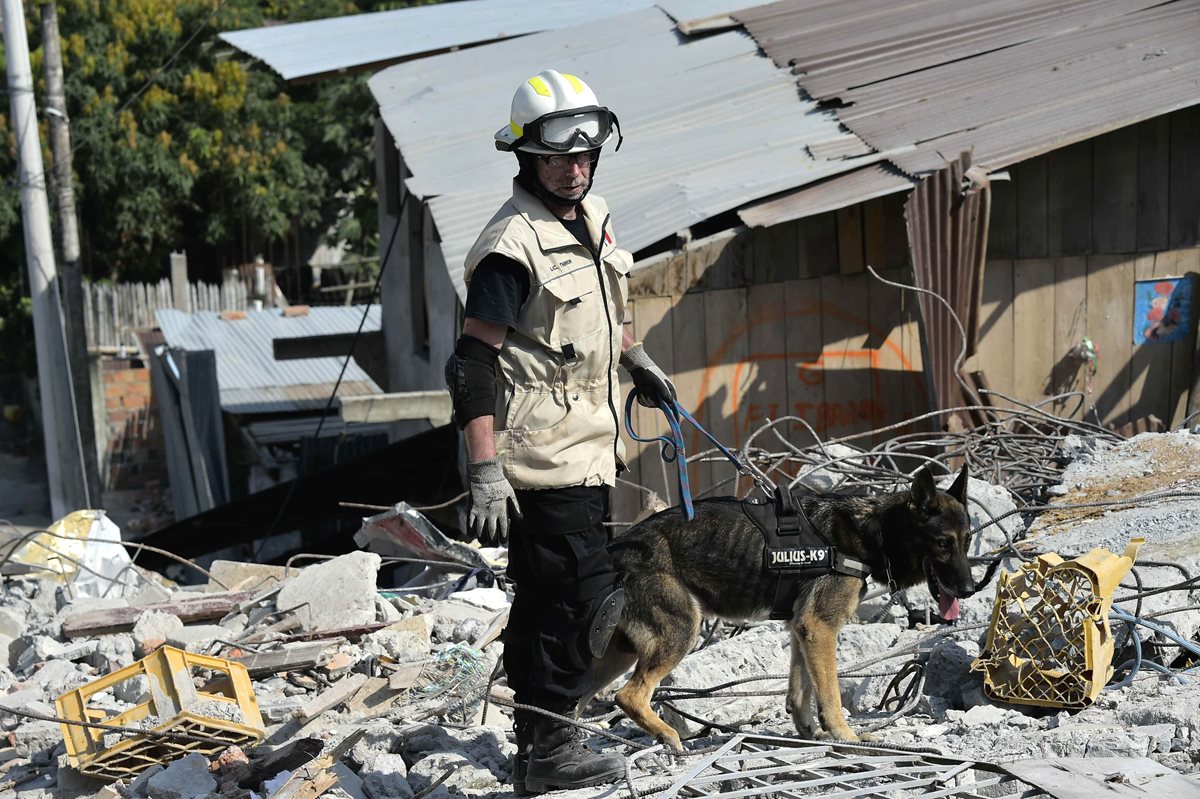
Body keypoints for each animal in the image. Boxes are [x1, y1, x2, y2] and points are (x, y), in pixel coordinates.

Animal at [585, 460, 979, 748]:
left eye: (967, 540)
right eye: (943, 543)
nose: (970, 588)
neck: (872, 530)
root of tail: (618, 546)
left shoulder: (802, 628)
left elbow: (800, 690)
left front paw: (810, 733)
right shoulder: (820, 626)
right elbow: (830, 694)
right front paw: (845, 736)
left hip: (617, 655)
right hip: (680, 631)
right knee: (629, 695)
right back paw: (667, 736)